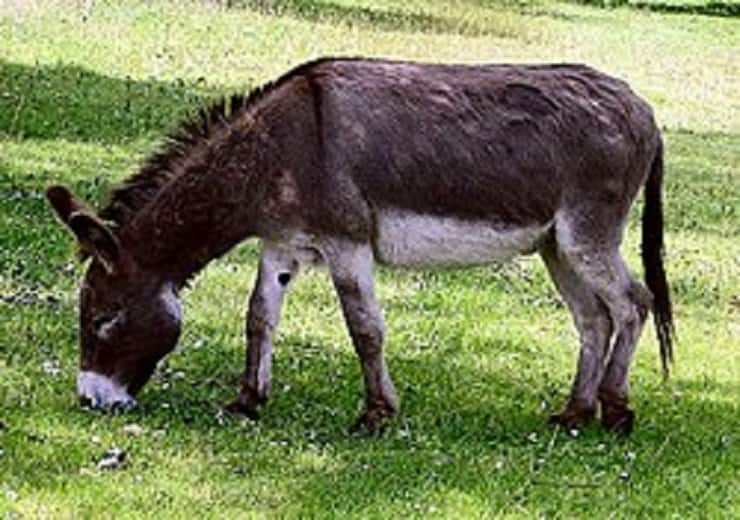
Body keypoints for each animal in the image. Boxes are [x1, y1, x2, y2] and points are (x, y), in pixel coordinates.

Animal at [47, 57, 673, 434]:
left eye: (102, 320)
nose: (90, 401)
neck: (276, 148)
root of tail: (642, 107)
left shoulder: (346, 243)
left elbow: (364, 328)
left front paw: (376, 415)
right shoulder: (283, 244)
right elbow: (258, 318)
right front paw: (248, 401)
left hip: (588, 234)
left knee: (631, 303)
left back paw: (616, 410)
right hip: (556, 246)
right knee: (593, 318)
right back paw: (575, 412)